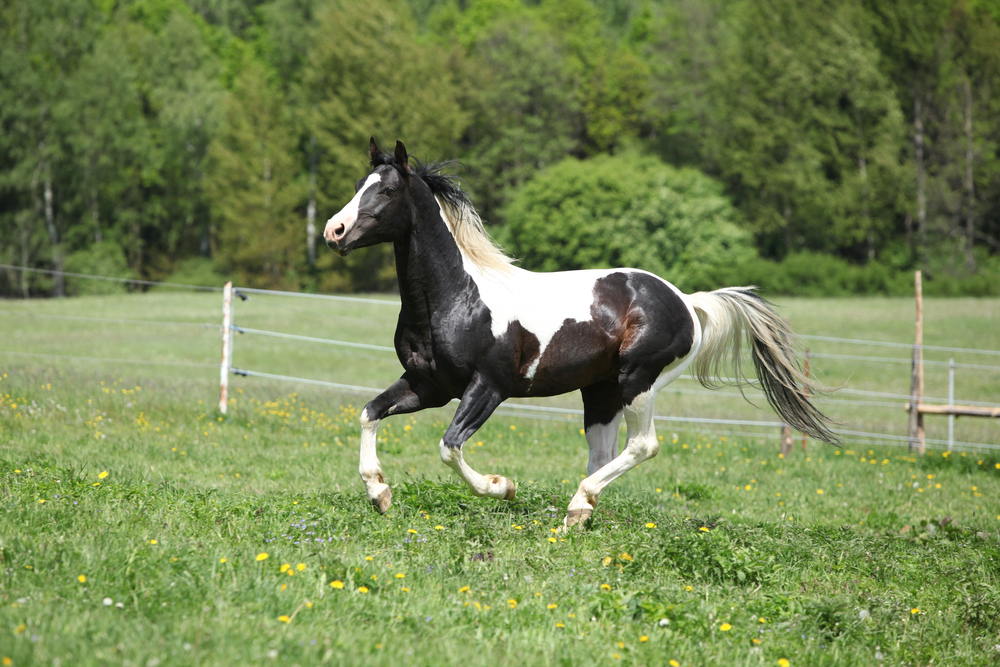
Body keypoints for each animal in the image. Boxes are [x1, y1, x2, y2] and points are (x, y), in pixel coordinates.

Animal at [324, 138, 836, 529]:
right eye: (357, 186)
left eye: (388, 190)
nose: (335, 230)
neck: (457, 296)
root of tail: (687, 302)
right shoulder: (428, 386)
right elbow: (369, 413)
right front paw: (380, 493)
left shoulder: (488, 387)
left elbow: (450, 448)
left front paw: (503, 487)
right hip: (601, 390)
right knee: (604, 451)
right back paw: (580, 511)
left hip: (638, 381)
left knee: (642, 445)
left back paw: (576, 505)